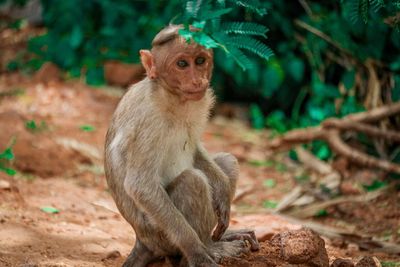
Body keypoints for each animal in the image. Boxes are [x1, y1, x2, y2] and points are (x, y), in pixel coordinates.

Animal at [104, 25, 260, 267]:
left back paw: (220, 237)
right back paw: (209, 248)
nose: (198, 81)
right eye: (182, 64)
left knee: (227, 161)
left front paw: (223, 193)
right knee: (192, 182)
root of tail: (142, 240)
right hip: (161, 235)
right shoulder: (148, 121)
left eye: (200, 60)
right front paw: (196, 251)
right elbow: (141, 185)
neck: (172, 96)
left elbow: (195, 150)